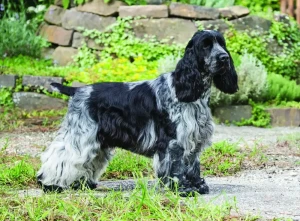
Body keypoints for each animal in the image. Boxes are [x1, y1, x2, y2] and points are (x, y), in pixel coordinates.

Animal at [37, 30, 239, 196]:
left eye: (222, 44)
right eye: (205, 45)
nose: (224, 58)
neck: (193, 92)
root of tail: (77, 90)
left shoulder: (194, 137)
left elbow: (192, 165)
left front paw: (198, 185)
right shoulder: (174, 140)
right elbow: (176, 166)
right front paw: (183, 189)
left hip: (98, 140)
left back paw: (83, 184)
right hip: (81, 134)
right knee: (60, 156)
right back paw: (50, 185)